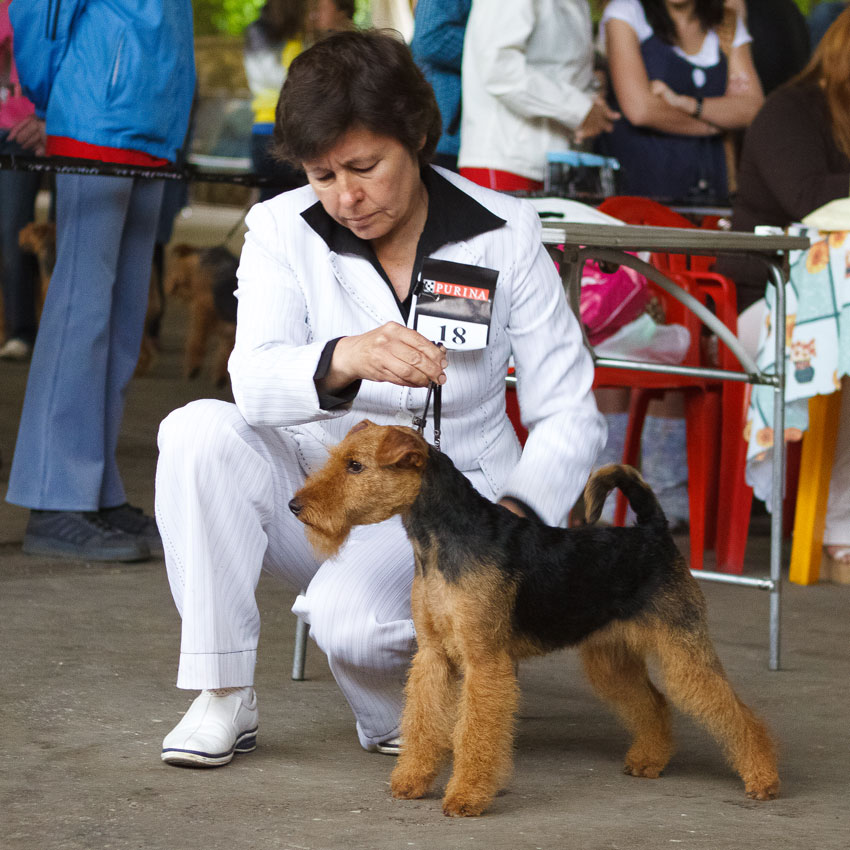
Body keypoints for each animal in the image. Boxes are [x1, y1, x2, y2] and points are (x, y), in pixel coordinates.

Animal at [289, 421, 780, 817]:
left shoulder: (484, 661)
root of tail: (653, 531)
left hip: (682, 649)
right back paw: (649, 760)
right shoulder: (432, 655)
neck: (438, 542)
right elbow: (423, 720)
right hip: (611, 657)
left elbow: (475, 733)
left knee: (737, 714)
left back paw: (763, 779)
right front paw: (410, 781)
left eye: (355, 466)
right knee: (654, 703)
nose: (296, 506)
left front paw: (465, 798)